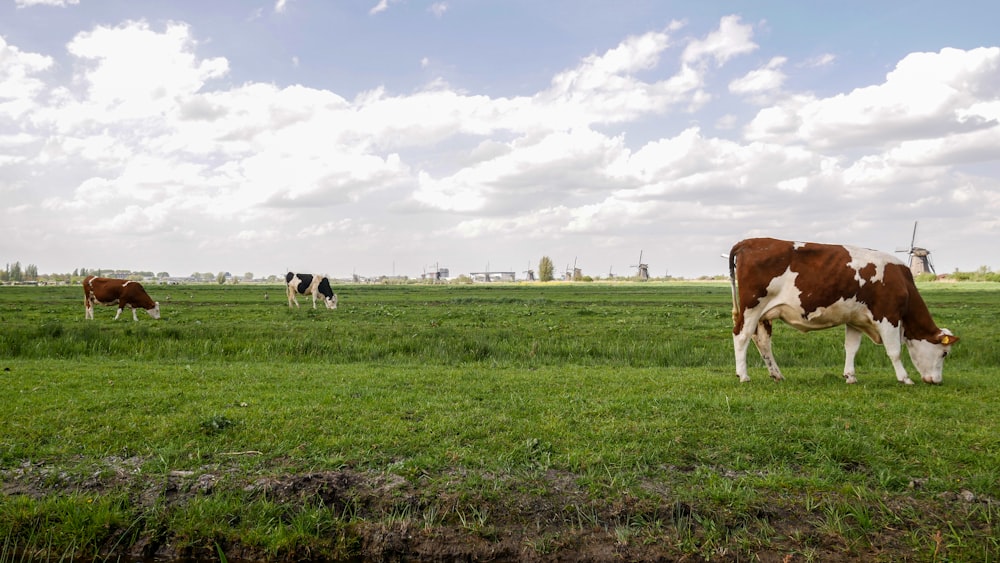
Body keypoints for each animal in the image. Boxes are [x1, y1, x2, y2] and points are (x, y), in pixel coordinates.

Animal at [732, 236, 956, 386]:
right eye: (944, 353)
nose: (937, 381)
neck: (902, 282)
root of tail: (748, 242)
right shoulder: (888, 316)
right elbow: (894, 351)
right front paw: (905, 378)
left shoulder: (855, 319)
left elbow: (851, 348)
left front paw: (850, 376)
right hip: (751, 308)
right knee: (741, 336)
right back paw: (743, 375)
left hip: (764, 315)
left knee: (762, 342)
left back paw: (776, 374)